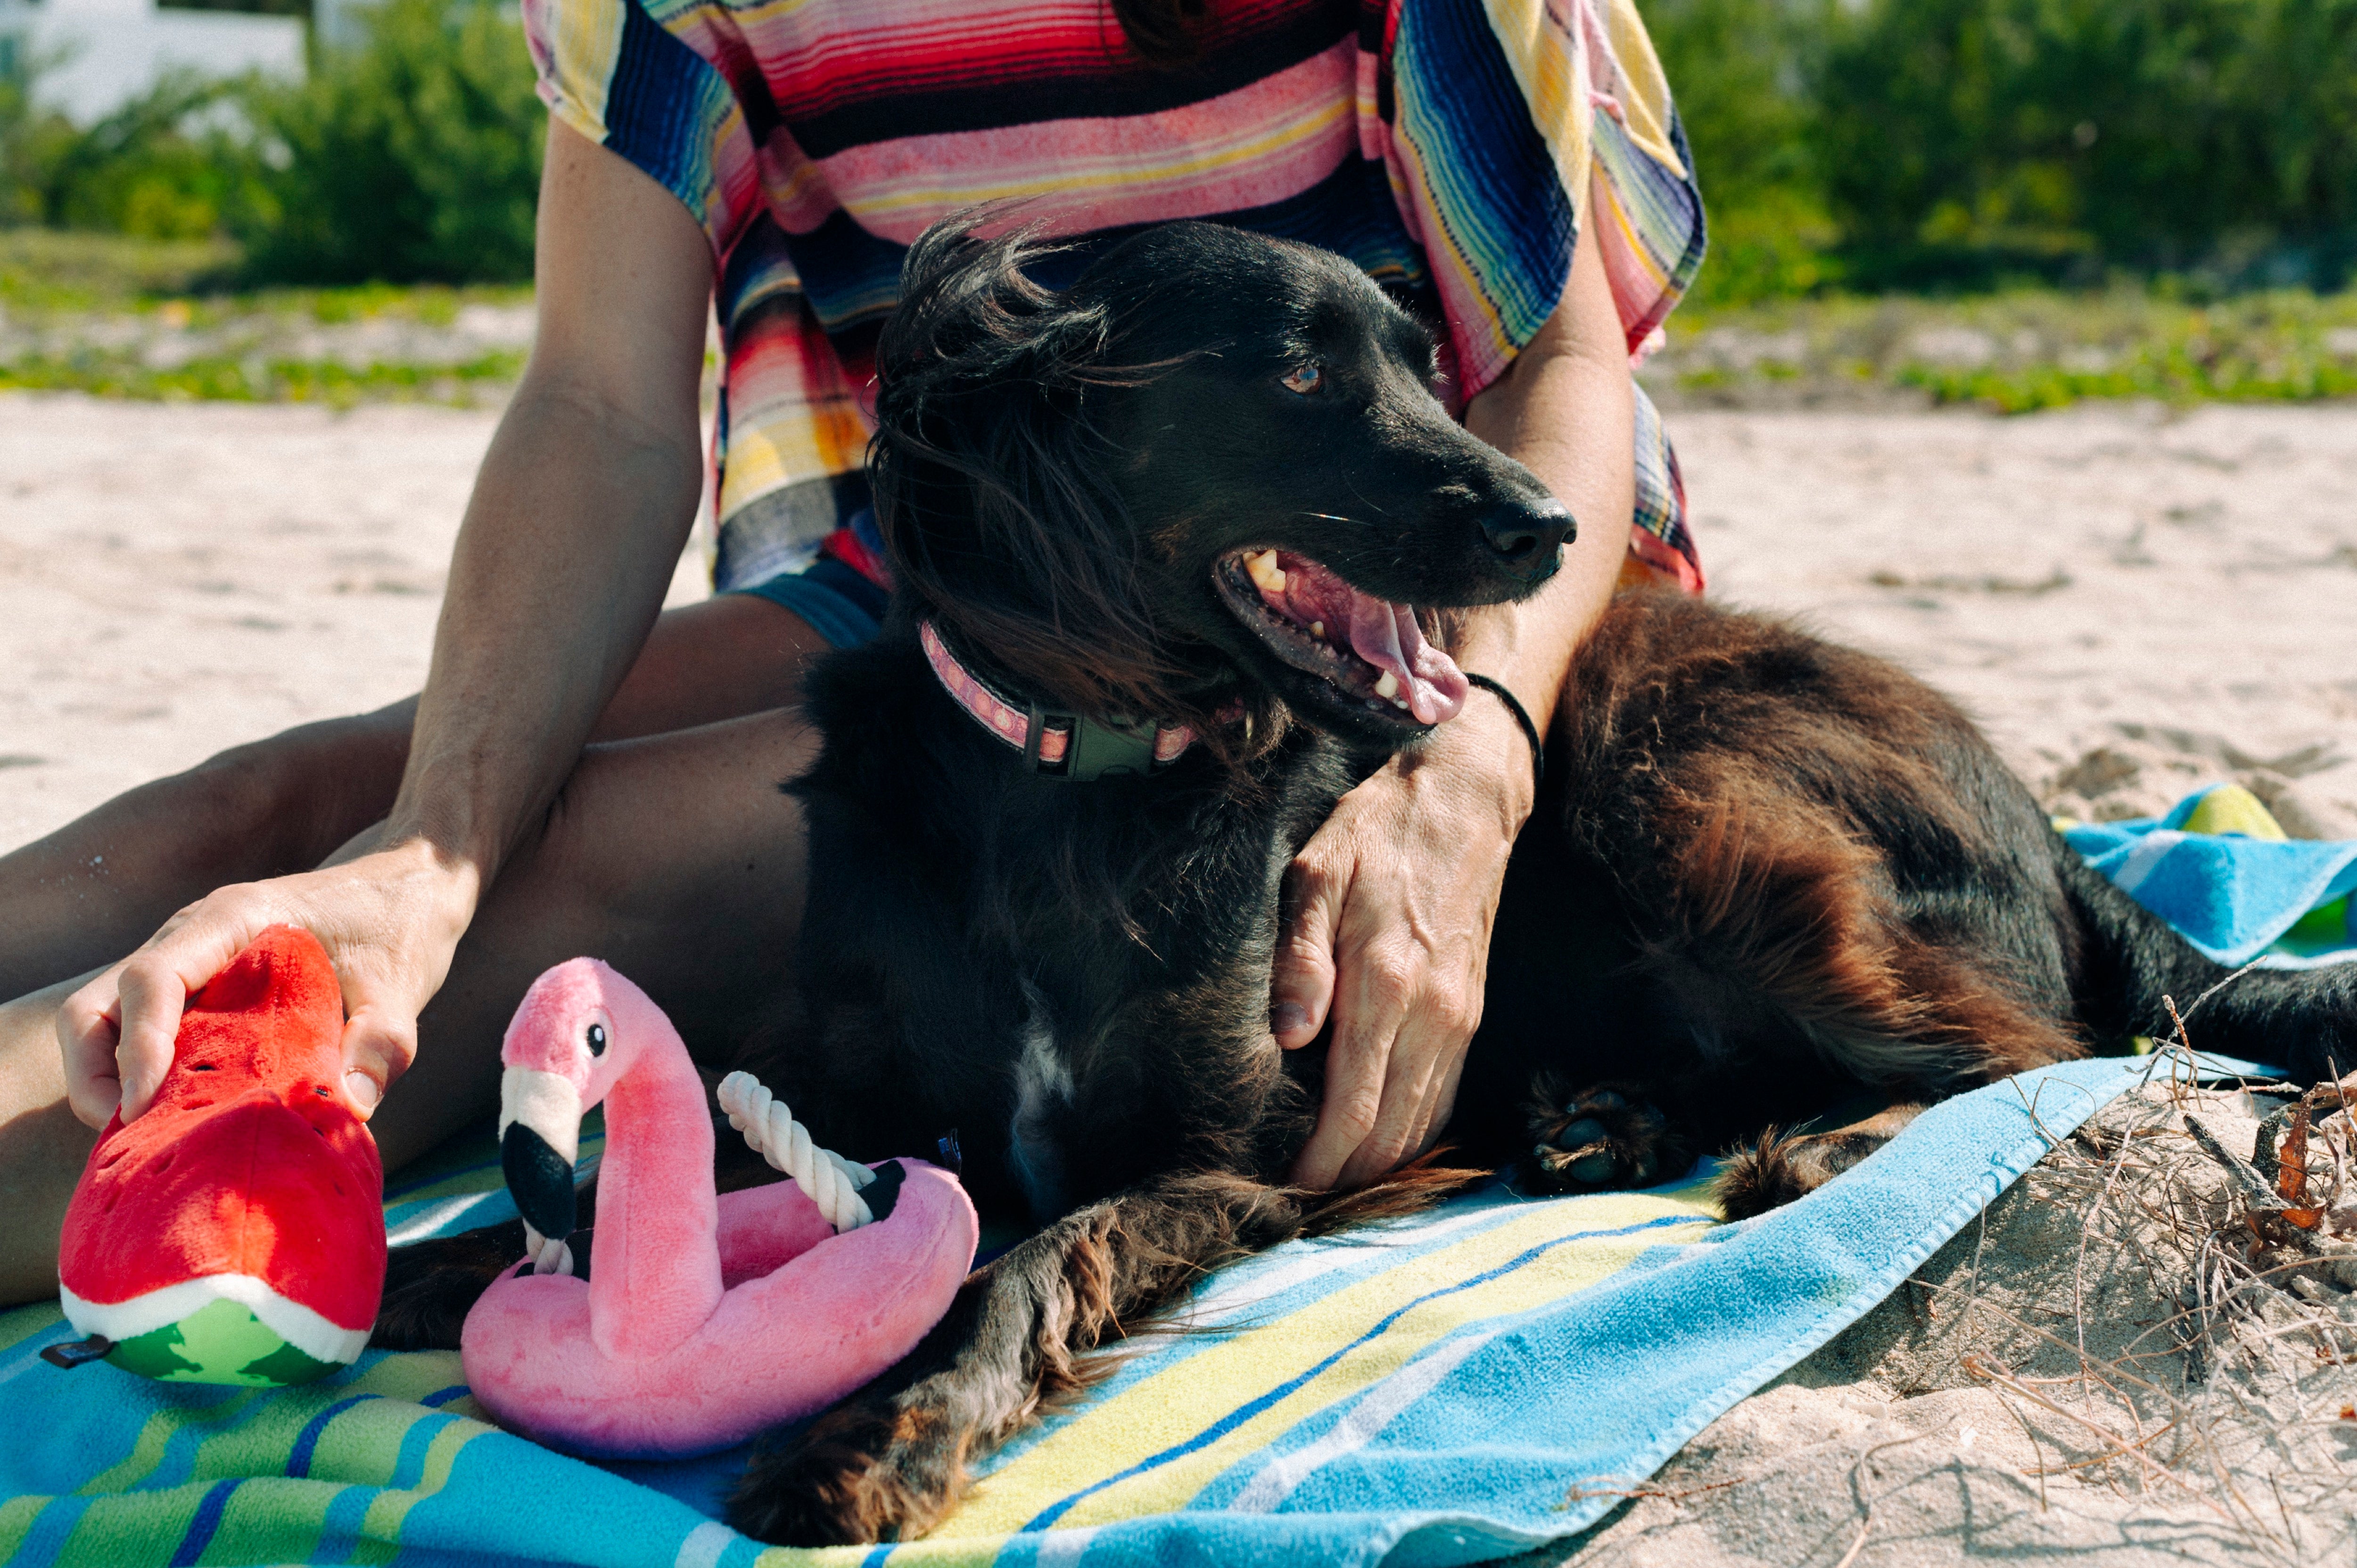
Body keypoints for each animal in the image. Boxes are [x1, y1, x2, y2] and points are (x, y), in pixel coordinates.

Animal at [372, 220, 2357, 1537]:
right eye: (1296, 372)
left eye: (1419, 358)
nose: (1549, 527)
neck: (1077, 769)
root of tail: (2049, 823)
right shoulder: (849, 1081)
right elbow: (629, 1170)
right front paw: (428, 1256)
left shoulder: (1226, 1158)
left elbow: (1023, 1259)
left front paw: (888, 1428)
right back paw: (1610, 1118)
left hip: (1685, 786)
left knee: (2035, 1050)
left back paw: (1805, 1148)